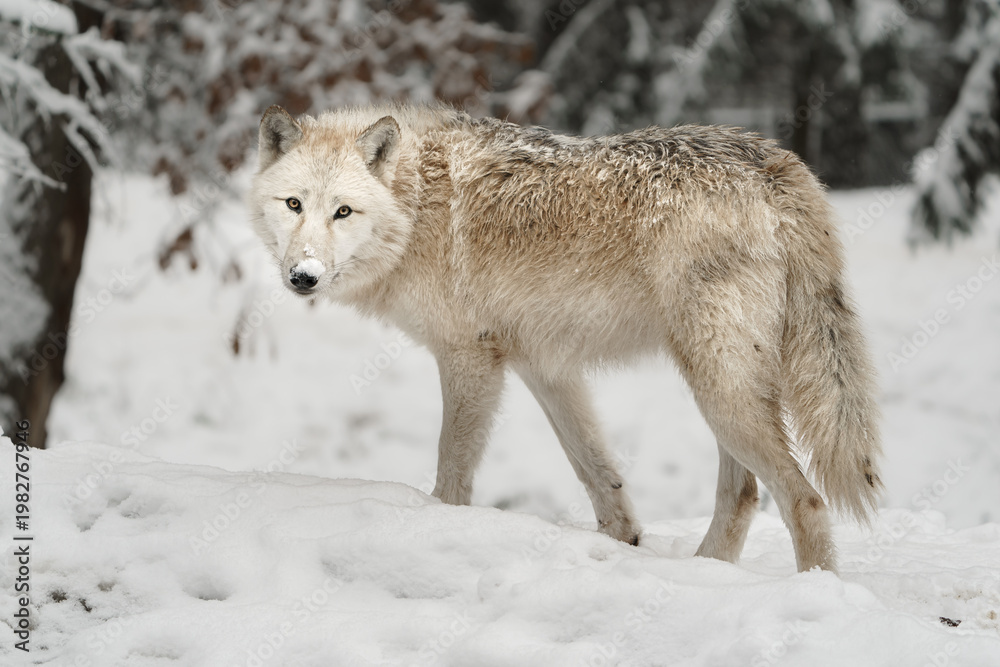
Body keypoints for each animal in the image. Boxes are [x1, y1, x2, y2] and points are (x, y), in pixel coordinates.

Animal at [249, 103, 882, 573]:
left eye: (343, 212)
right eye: (294, 204)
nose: (303, 276)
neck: (416, 201)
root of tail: (771, 160)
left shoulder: (467, 357)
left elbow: (452, 471)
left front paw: (437, 529)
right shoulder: (544, 368)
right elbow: (597, 474)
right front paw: (622, 543)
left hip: (721, 389)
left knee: (805, 497)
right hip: (723, 389)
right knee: (746, 494)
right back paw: (704, 573)